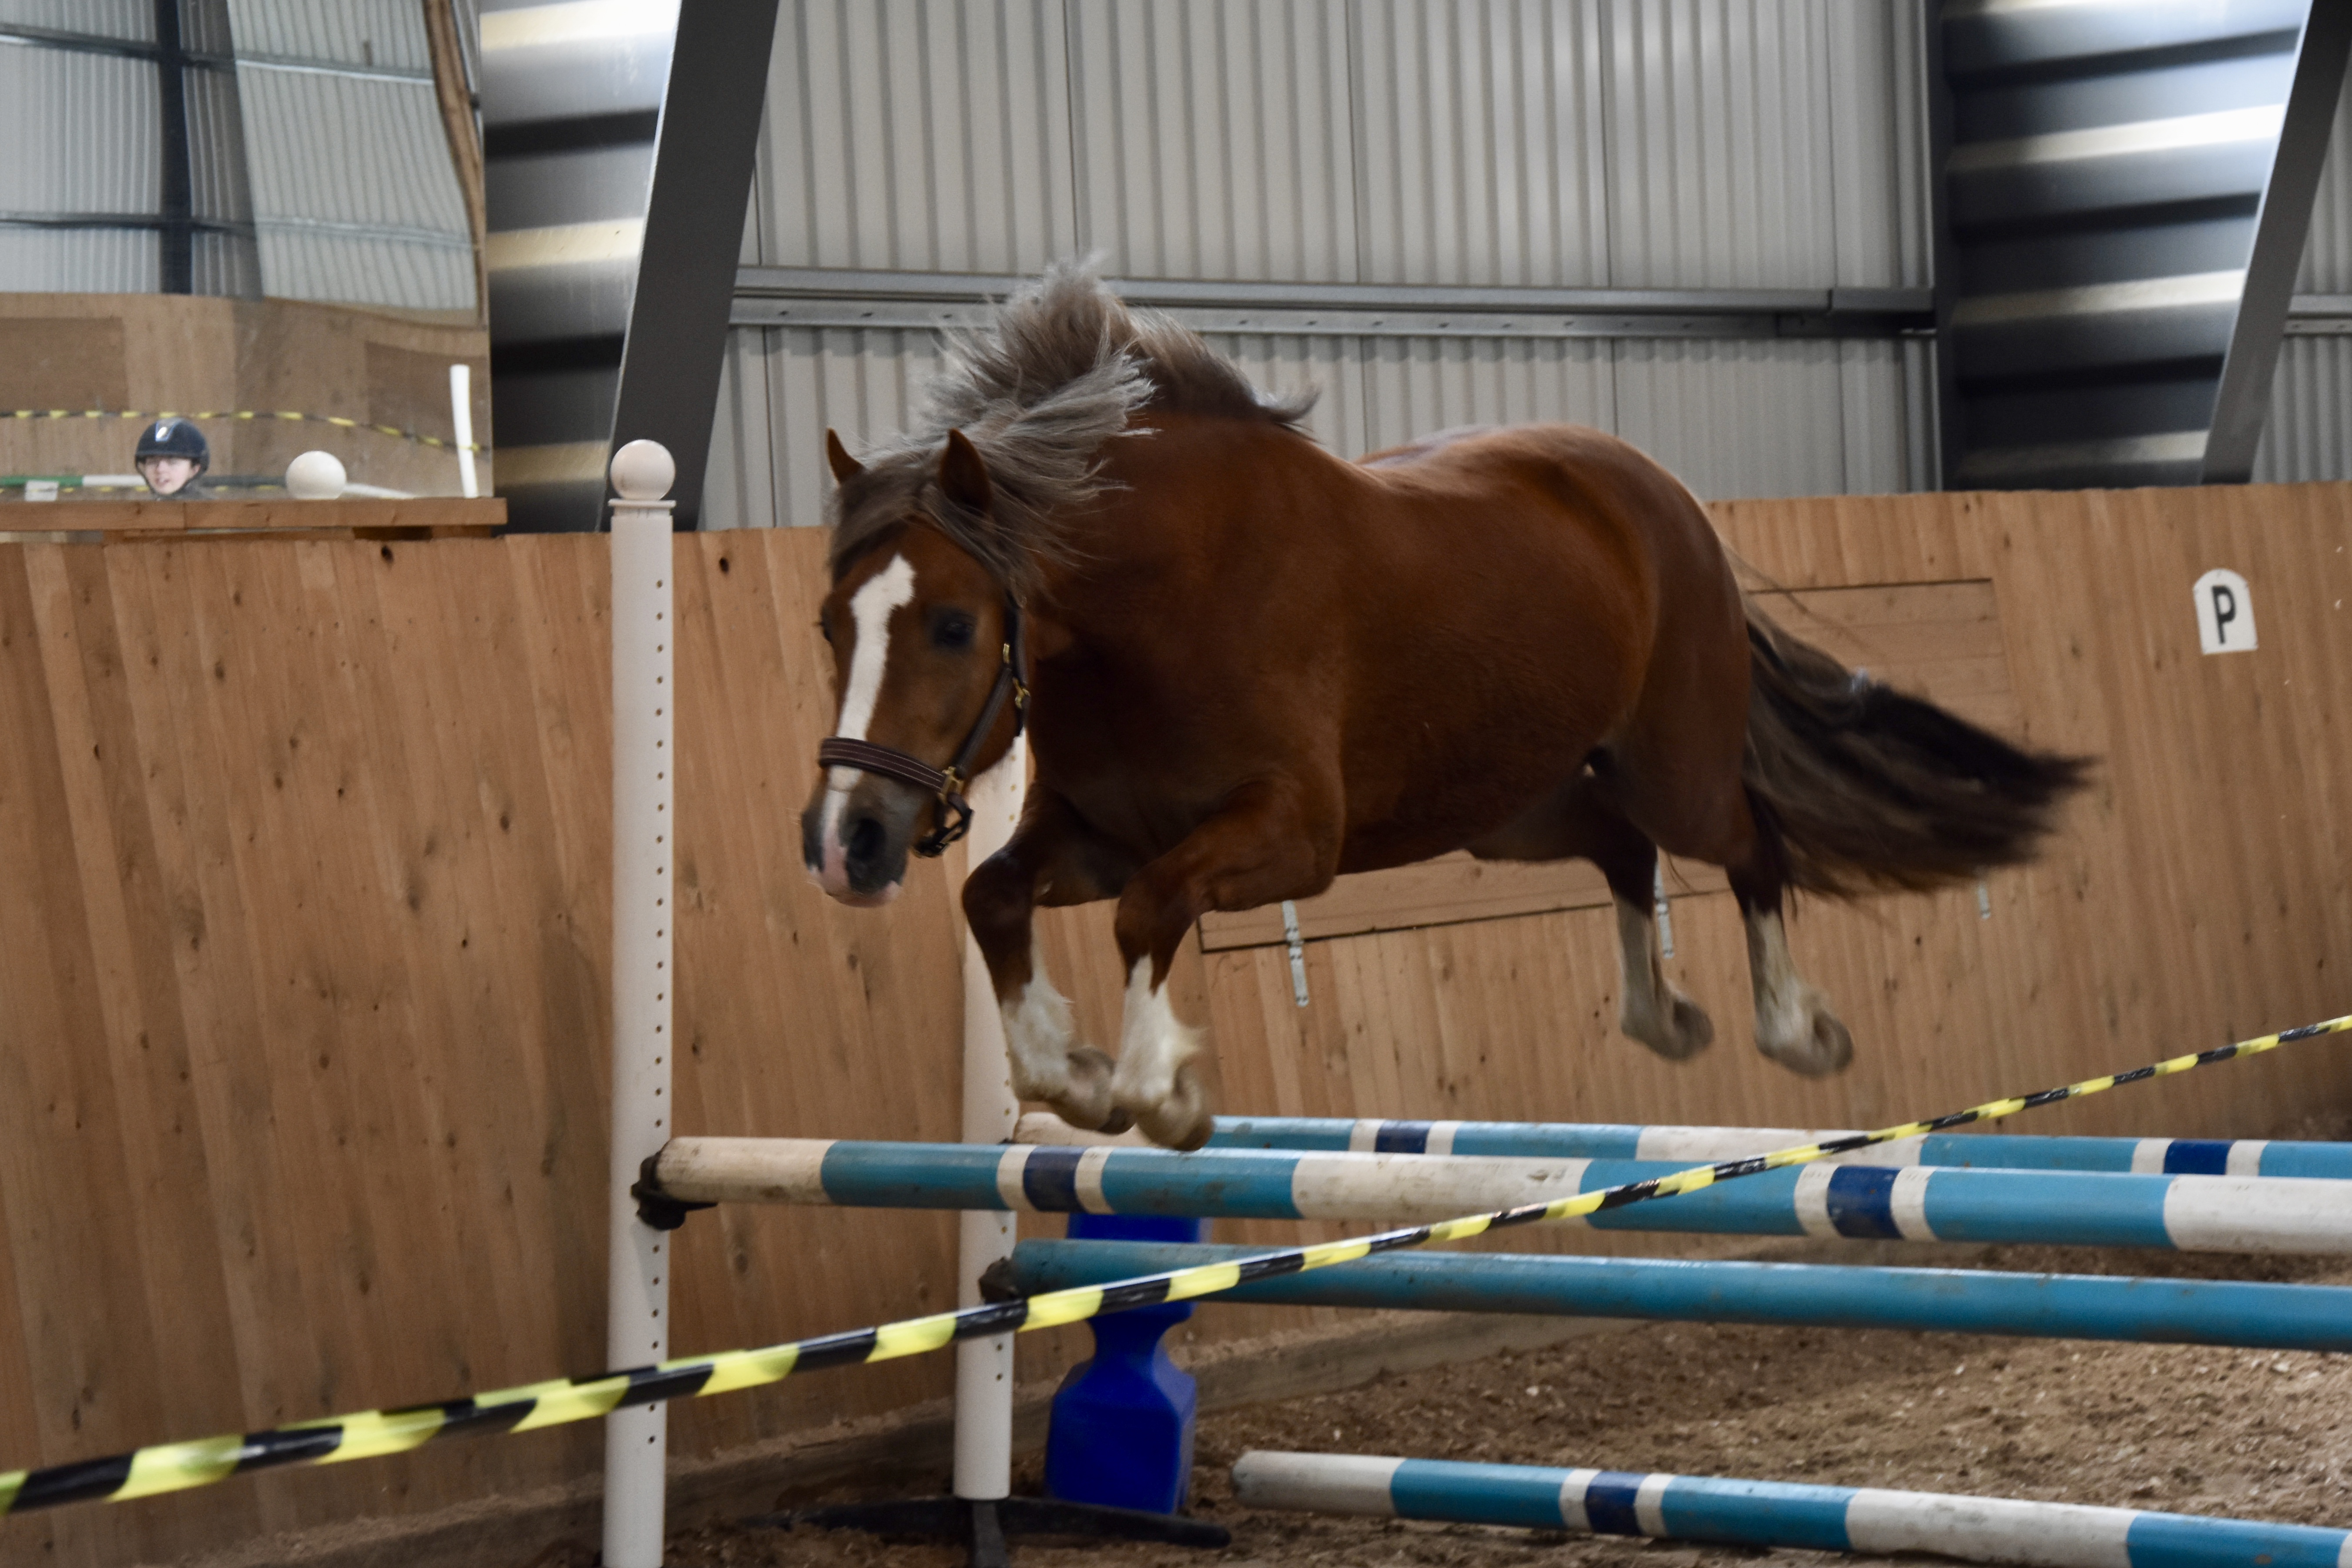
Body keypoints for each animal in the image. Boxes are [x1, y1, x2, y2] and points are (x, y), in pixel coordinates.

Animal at [799, 264, 2088, 1150]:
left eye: (954, 625)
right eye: (829, 624)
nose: (848, 841)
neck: (1156, 608)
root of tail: (1662, 498)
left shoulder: (1290, 837)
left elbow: (1149, 910)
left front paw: (1154, 1087)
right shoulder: (1098, 831)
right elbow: (995, 894)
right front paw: (1063, 1071)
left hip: (1663, 766)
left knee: (1743, 843)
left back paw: (1793, 1030)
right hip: (1507, 808)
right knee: (1623, 850)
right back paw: (1662, 1018)